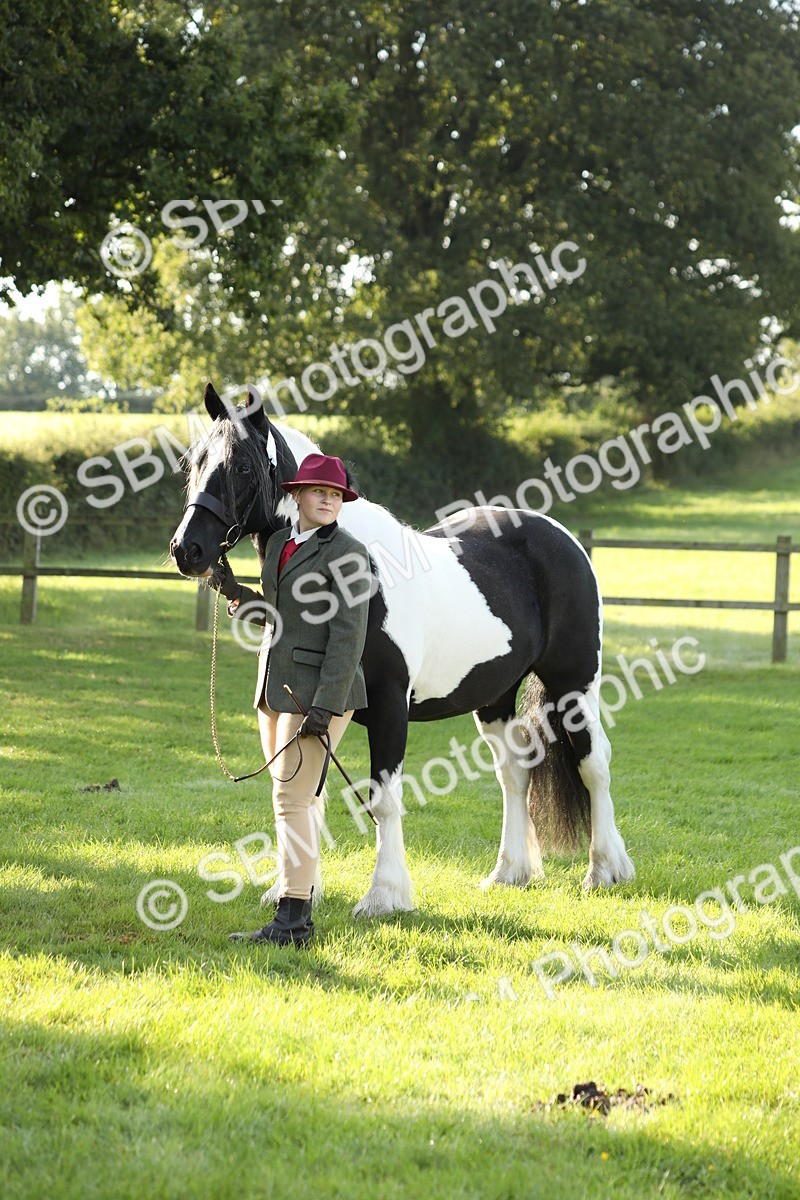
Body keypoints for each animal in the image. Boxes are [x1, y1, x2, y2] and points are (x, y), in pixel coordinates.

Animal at [169, 382, 634, 917]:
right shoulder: (312, 707)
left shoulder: (390, 706)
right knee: (514, 772)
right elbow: (308, 795)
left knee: (594, 763)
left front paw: (384, 895)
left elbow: (384, 798)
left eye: (243, 466)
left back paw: (605, 870)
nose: (187, 550)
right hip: (494, 696)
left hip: (572, 685)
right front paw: (299, 891)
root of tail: (565, 539)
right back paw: (508, 873)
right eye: (194, 461)